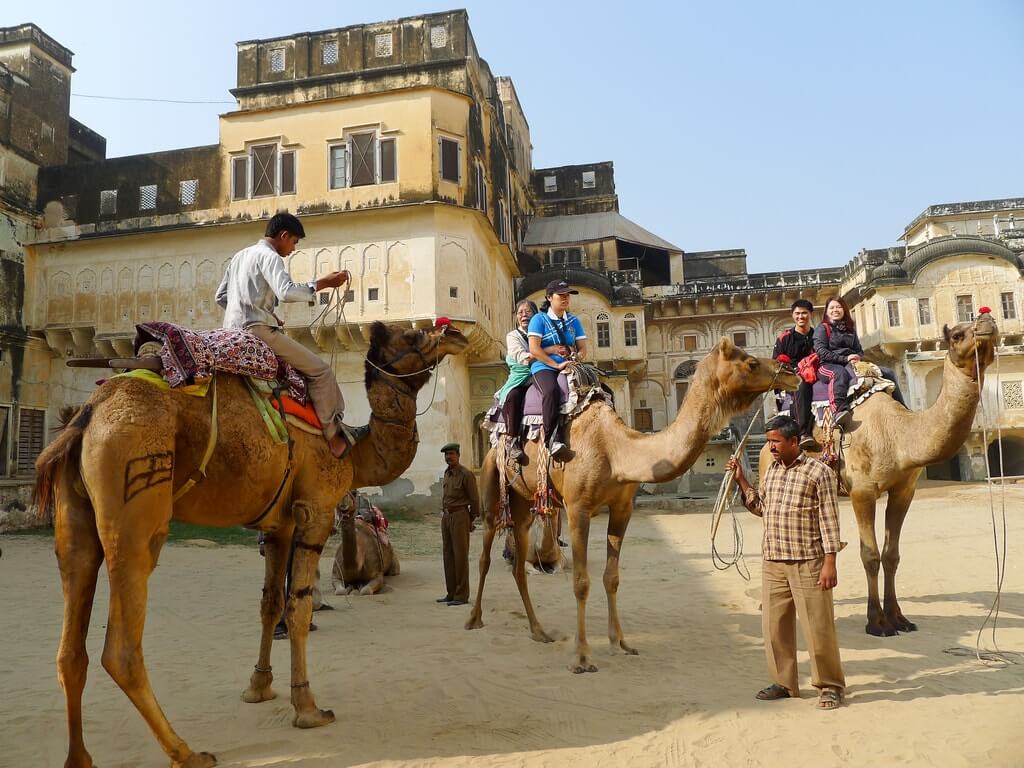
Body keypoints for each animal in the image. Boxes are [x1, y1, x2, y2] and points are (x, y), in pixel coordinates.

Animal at [35, 321, 468, 768]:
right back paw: (187, 753)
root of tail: (86, 416)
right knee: (121, 649)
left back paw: (80, 758)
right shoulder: (315, 510)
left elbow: (269, 604)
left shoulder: (279, 526)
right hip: (135, 497)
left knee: (70, 644)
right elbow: (298, 608)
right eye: (413, 335)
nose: (456, 334)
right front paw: (308, 708)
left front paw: (259, 687)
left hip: (76, 520)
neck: (354, 450)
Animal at [466, 338, 799, 672]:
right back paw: (474, 619)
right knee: (485, 555)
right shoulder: (577, 508)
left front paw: (621, 643)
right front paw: (582, 657)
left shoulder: (622, 508)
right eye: (750, 363)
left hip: (523, 500)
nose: (790, 372)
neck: (616, 451)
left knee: (518, 561)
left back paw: (539, 631)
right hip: (493, 485)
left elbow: (611, 578)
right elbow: (581, 582)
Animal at [759, 314, 998, 636]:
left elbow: (891, 555)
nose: (987, 320)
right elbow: (870, 556)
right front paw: (877, 622)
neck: (898, 436)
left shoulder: (903, 491)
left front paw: (899, 618)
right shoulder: (862, 492)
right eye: (957, 335)